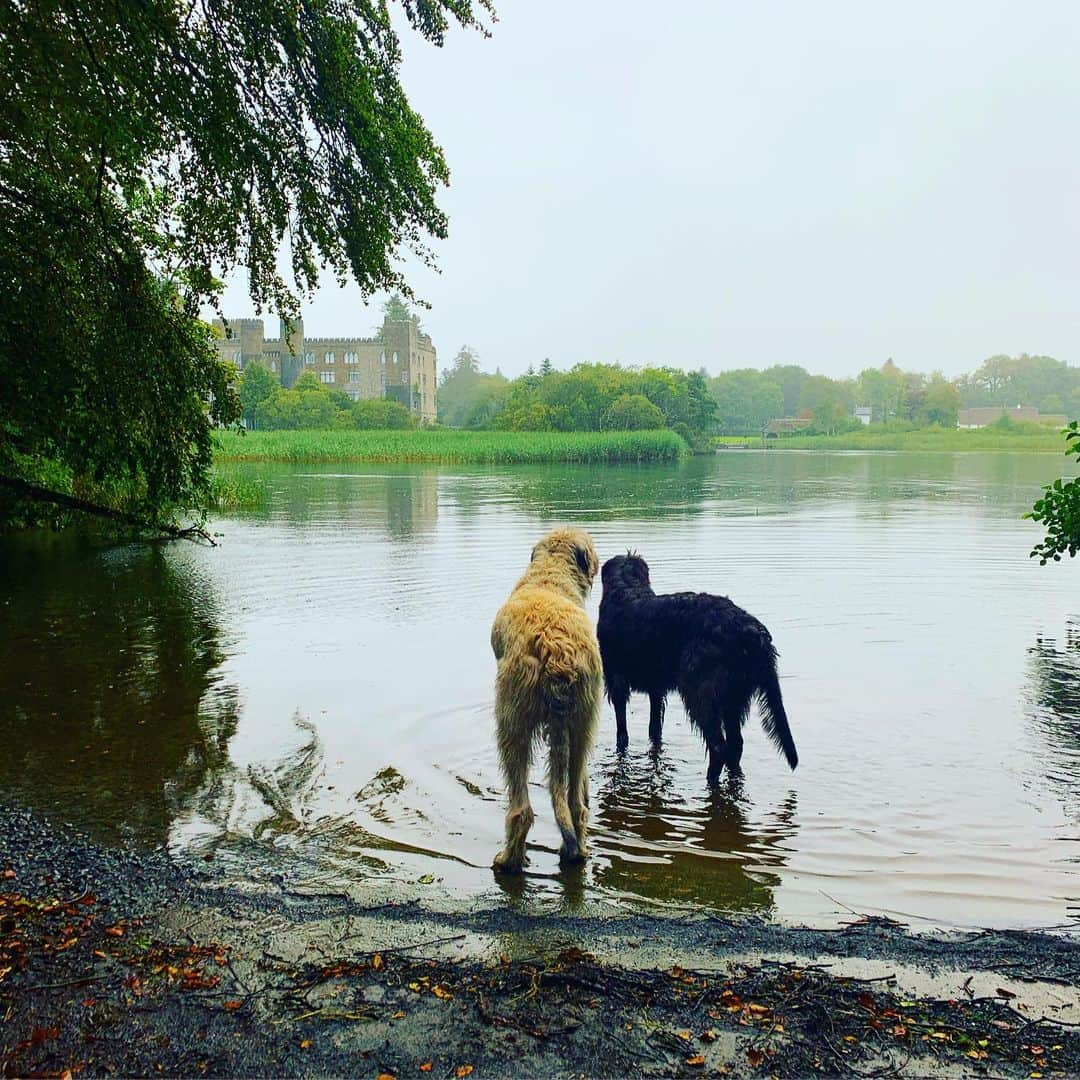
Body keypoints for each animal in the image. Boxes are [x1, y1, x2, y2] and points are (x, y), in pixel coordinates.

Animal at [492, 527, 604, 872]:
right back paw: (575, 850)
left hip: (511, 714)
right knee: (575, 800)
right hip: (584, 716)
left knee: (521, 805)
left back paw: (509, 860)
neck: (550, 576)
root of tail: (558, 653)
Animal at [596, 557, 799, 786]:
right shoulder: (656, 686)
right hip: (734, 695)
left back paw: (710, 780)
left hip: (700, 692)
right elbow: (654, 727)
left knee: (718, 746)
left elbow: (622, 729)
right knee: (736, 743)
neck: (627, 588)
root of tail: (752, 632)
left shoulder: (616, 680)